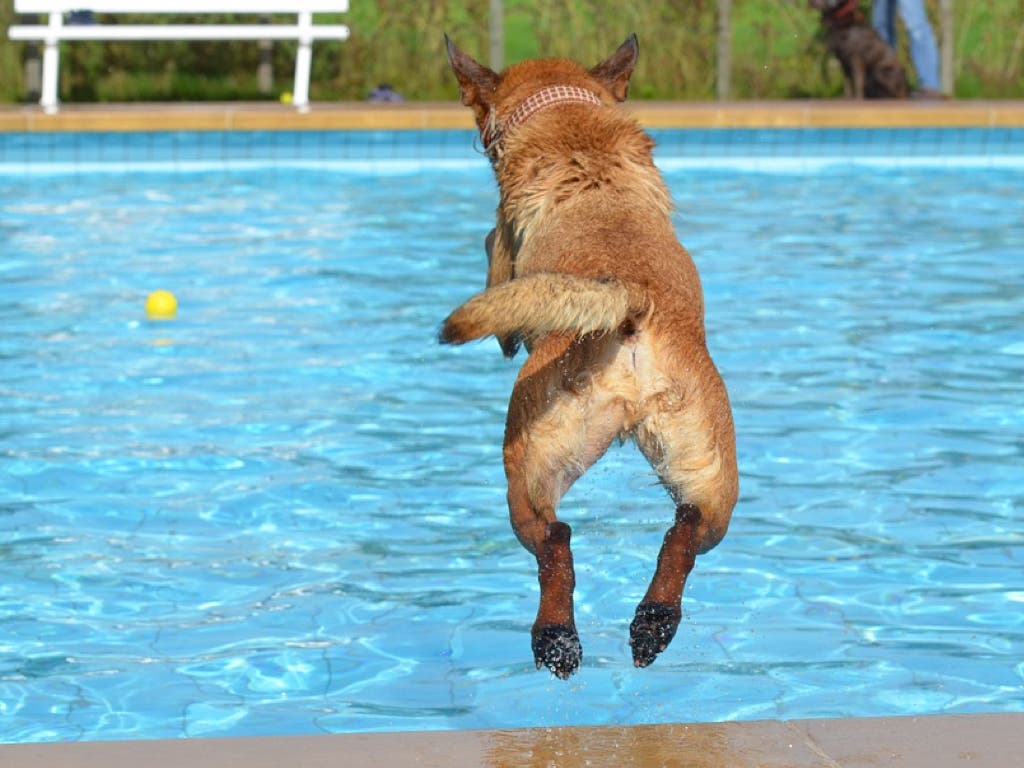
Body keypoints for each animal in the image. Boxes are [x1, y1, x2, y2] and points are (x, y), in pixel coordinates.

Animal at [440, 36, 737, 679]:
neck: (569, 116)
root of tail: (631, 300)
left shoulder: (500, 249)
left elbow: (493, 255)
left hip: (527, 464)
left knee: (556, 539)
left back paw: (556, 640)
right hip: (709, 472)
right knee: (686, 530)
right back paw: (652, 624)